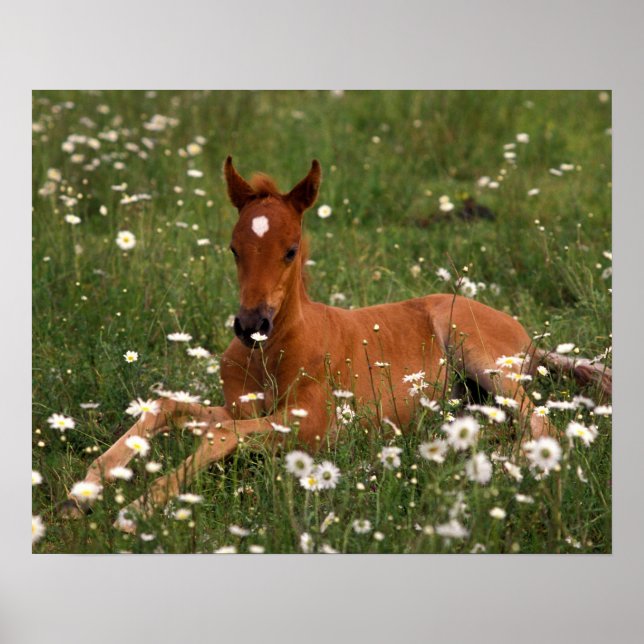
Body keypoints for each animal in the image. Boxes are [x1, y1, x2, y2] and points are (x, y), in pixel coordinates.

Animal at [61, 157, 612, 526]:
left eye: (290, 249)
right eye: (234, 248)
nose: (251, 324)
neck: (275, 351)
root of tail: (527, 338)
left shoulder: (313, 427)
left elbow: (218, 435)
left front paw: (139, 506)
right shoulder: (243, 409)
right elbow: (169, 407)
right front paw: (82, 492)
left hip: (481, 354)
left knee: (543, 426)